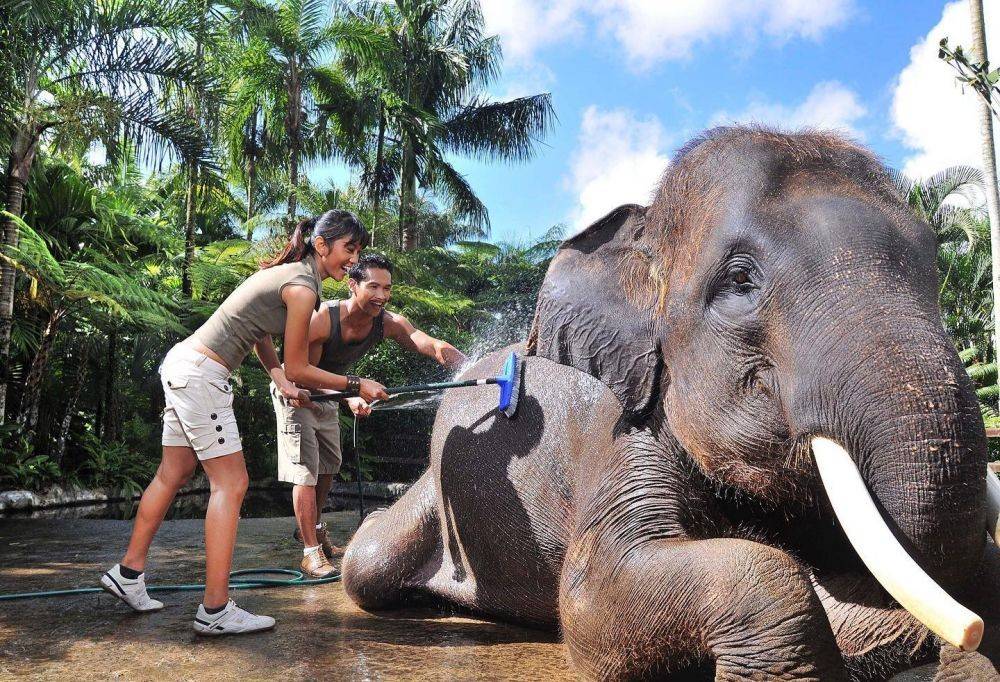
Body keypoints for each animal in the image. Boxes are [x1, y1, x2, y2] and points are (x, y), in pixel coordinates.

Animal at [342, 126, 1000, 676]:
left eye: (933, 265)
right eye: (739, 282)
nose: (970, 632)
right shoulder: (622, 431)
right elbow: (591, 597)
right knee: (367, 563)